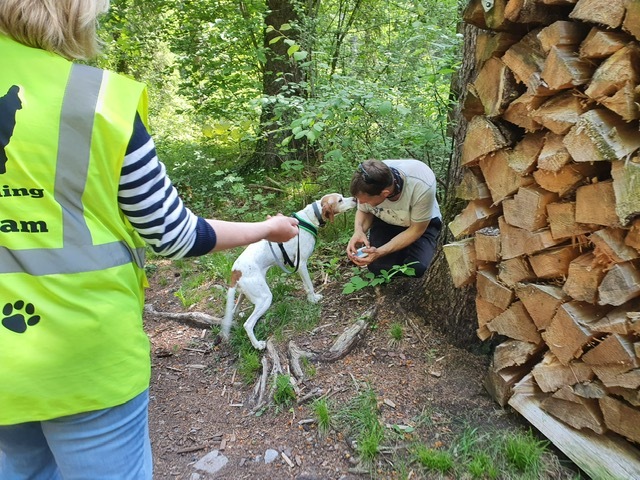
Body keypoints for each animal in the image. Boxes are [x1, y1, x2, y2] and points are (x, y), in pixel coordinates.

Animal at [222, 194, 356, 348]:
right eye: (340, 200)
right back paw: (257, 344)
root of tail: (235, 271)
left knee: (234, 310)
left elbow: (306, 286)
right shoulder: (302, 263)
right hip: (265, 298)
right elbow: (310, 286)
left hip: (245, 294)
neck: (309, 217)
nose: (355, 199)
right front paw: (313, 299)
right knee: (248, 325)